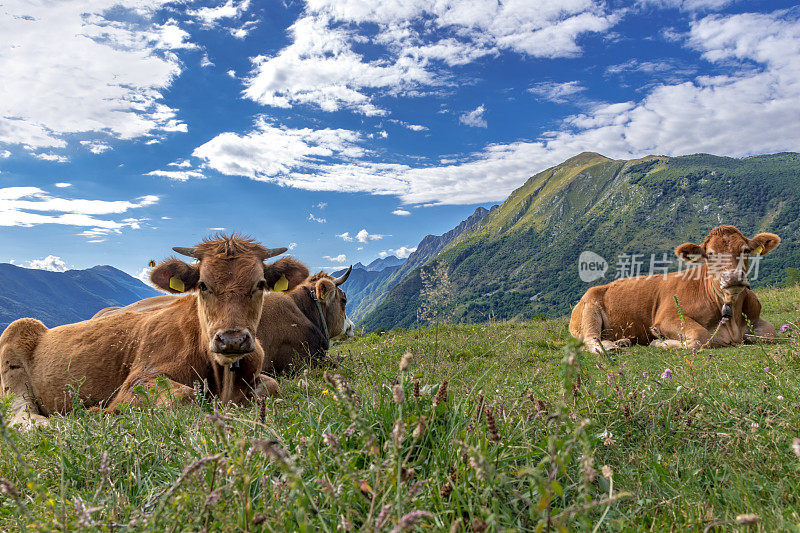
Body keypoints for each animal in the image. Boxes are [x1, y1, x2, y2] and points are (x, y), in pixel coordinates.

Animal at [0, 235, 306, 426]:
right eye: (203, 285)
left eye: (260, 284)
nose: (232, 339)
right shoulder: (138, 380)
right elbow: (184, 395)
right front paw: (100, 412)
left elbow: (272, 387)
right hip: (14, 347)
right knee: (21, 414)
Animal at [568, 224, 780, 354]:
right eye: (710, 254)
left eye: (745, 250)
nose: (733, 277)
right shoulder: (667, 317)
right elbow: (700, 337)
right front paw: (659, 341)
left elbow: (770, 333)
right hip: (589, 311)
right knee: (590, 339)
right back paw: (610, 347)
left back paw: (622, 342)